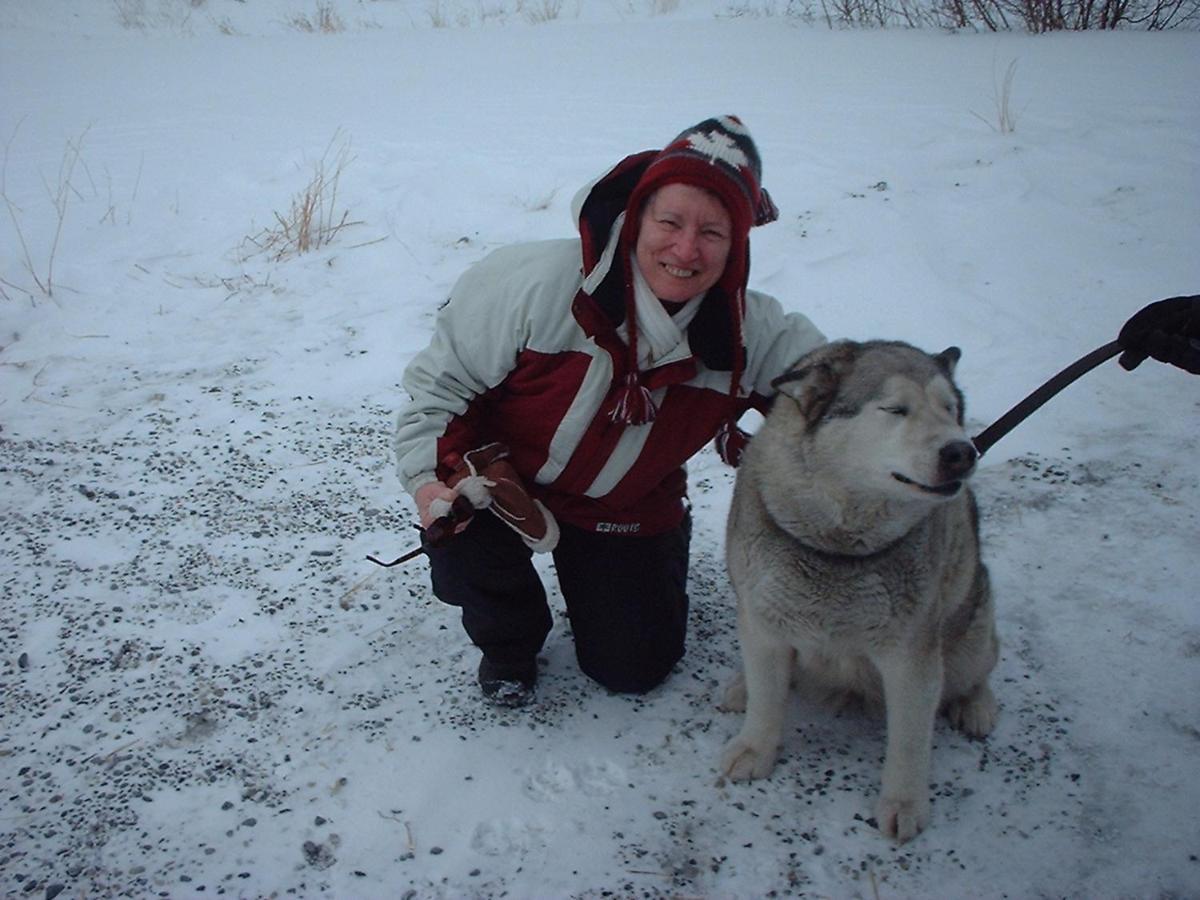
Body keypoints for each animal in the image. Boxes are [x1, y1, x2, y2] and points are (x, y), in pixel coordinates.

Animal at [715, 338, 998, 844]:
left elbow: (909, 740)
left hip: (971, 623)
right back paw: (741, 685)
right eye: (895, 409)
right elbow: (768, 699)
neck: (839, 549)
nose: (962, 453)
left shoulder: (911, 655)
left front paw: (903, 803)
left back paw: (976, 704)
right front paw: (755, 748)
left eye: (949, 409)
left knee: (978, 666)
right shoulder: (764, 622)